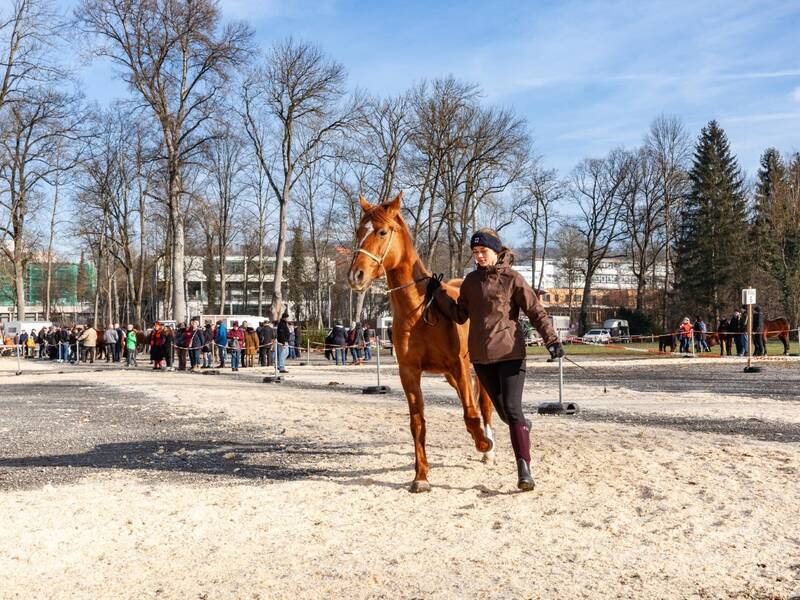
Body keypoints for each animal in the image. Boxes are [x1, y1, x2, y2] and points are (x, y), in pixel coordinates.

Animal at [348, 192, 494, 492]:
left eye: (381, 232)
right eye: (359, 232)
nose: (356, 275)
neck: (421, 311)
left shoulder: (459, 365)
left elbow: (471, 413)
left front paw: (483, 443)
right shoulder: (410, 372)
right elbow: (418, 423)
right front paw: (421, 477)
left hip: (472, 368)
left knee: (483, 404)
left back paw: (489, 450)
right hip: (449, 376)